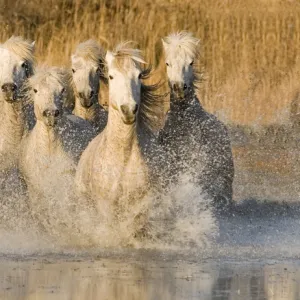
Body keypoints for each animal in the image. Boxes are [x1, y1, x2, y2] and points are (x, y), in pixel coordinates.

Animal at [75, 41, 164, 237]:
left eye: (139, 75)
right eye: (111, 76)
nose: (128, 110)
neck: (123, 156)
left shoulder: (141, 206)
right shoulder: (106, 207)